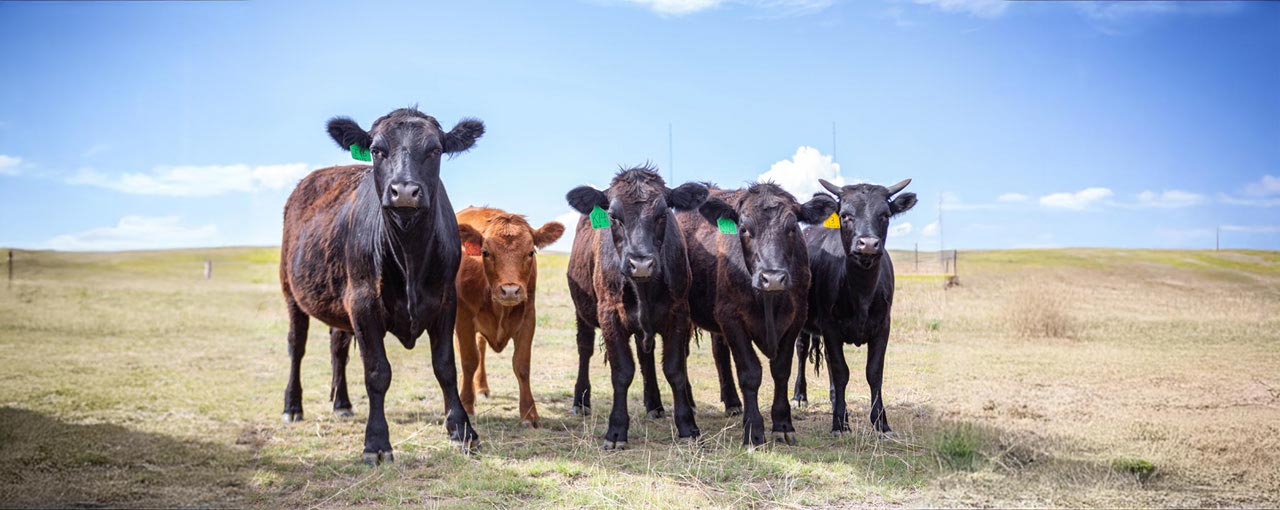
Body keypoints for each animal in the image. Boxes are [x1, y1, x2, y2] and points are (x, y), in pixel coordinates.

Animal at [279, 107, 485, 465]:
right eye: (376, 150)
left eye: (435, 149)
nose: (404, 191)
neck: (409, 253)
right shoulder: (363, 304)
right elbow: (377, 372)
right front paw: (376, 442)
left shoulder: (446, 302)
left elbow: (445, 367)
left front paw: (461, 430)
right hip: (292, 292)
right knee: (296, 346)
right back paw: (292, 406)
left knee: (338, 348)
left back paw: (342, 404)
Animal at [453, 207, 564, 428]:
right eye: (485, 252)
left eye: (530, 252)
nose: (510, 291)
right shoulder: (463, 316)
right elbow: (468, 360)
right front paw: (467, 406)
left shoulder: (528, 317)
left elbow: (521, 364)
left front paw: (529, 413)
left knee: (481, 347)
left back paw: (482, 388)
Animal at [565, 166, 708, 449]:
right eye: (613, 215)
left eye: (663, 214)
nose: (640, 263)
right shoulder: (609, 315)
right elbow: (622, 372)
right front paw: (616, 431)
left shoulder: (679, 313)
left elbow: (674, 369)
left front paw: (687, 426)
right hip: (582, 311)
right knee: (584, 348)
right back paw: (581, 400)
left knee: (645, 357)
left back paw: (654, 403)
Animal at [678, 183, 836, 448]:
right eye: (743, 228)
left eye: (792, 227)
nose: (772, 278)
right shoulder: (731, 318)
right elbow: (750, 373)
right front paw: (753, 430)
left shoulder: (796, 318)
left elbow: (781, 370)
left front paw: (783, 425)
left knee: (719, 353)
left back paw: (732, 403)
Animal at [792, 178, 916, 436]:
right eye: (846, 215)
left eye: (885, 215)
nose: (868, 244)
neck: (862, 294)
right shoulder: (830, 327)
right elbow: (842, 371)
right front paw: (840, 422)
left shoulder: (883, 326)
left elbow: (874, 372)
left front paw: (880, 422)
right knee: (801, 350)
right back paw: (800, 396)